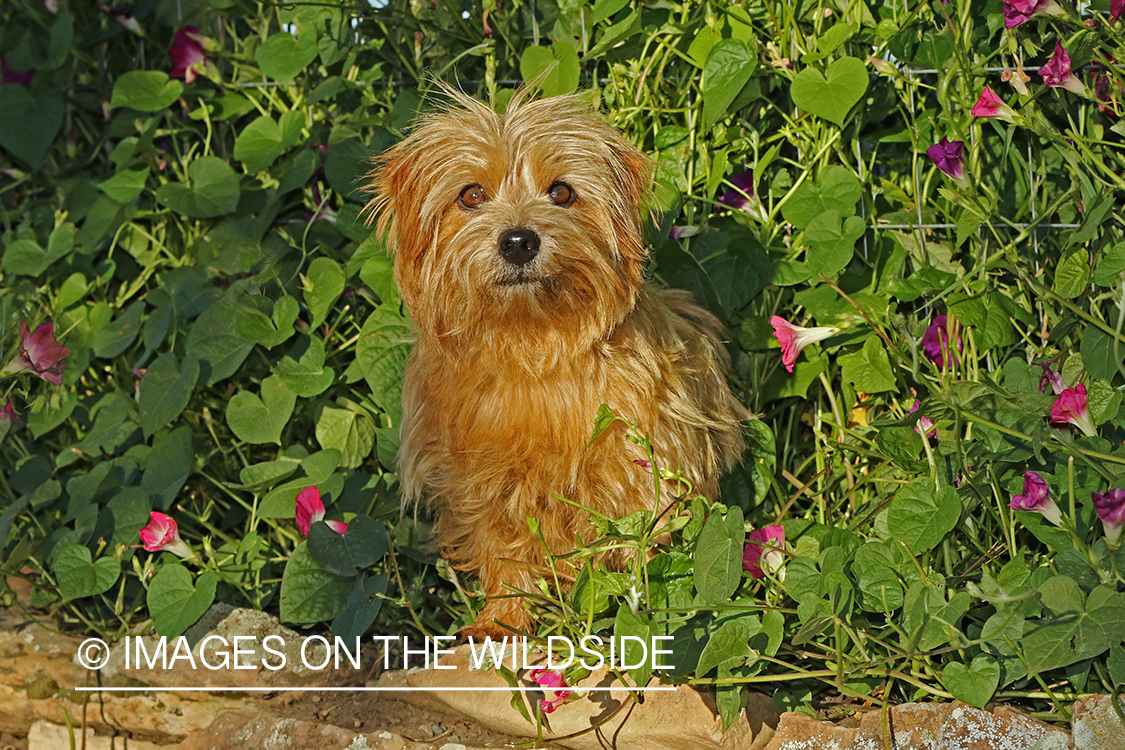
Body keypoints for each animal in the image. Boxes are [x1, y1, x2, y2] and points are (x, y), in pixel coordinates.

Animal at [366, 89, 747, 638]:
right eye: (472, 195)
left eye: (562, 192)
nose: (519, 240)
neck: (532, 350)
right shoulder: (480, 483)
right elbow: (503, 549)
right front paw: (500, 621)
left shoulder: (647, 464)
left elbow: (637, 542)